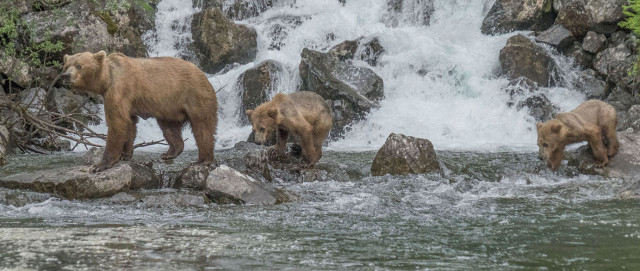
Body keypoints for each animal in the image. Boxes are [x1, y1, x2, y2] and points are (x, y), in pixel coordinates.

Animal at [62, 51, 218, 173]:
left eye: (79, 66)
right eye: (67, 65)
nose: (66, 75)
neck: (106, 80)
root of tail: (202, 73)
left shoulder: (119, 90)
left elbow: (117, 123)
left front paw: (100, 165)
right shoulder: (126, 101)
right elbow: (130, 124)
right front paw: (125, 154)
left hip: (194, 95)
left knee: (202, 127)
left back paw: (203, 160)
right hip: (169, 107)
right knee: (169, 128)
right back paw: (170, 152)